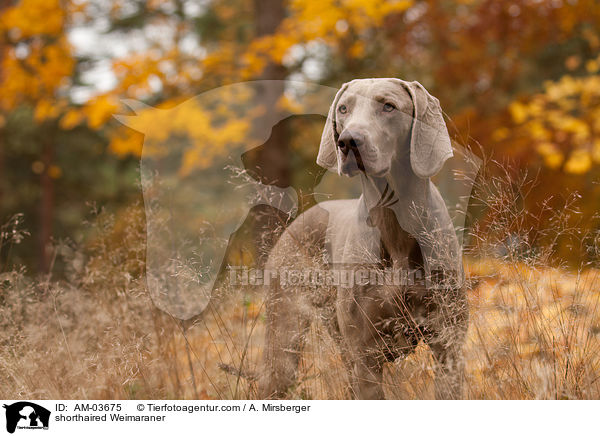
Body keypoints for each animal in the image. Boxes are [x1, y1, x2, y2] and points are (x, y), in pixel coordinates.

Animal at [258, 77, 468, 398]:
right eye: (343, 109)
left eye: (389, 106)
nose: (348, 141)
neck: (394, 225)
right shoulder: (367, 358)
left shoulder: (448, 346)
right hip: (285, 335)